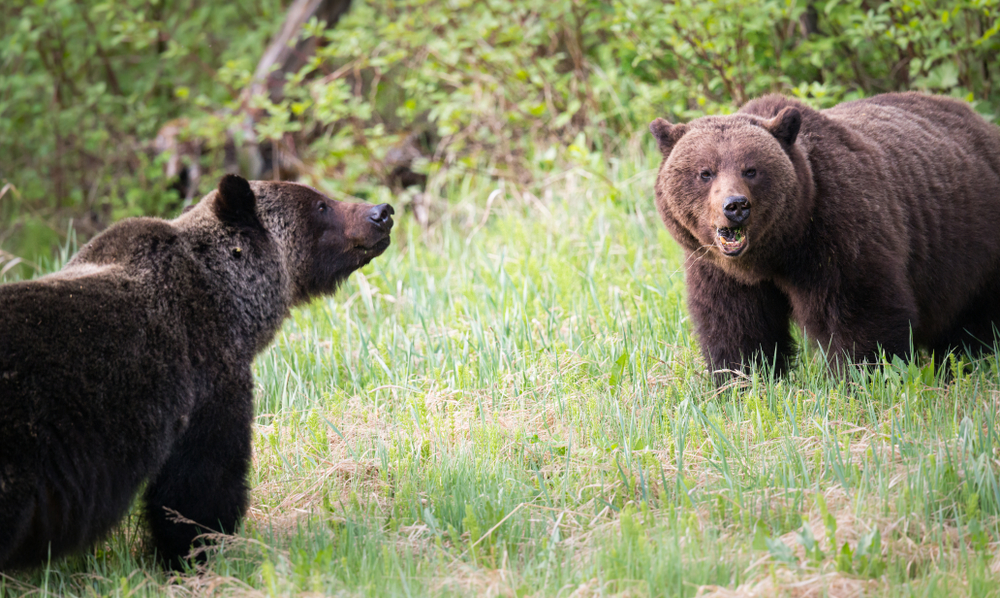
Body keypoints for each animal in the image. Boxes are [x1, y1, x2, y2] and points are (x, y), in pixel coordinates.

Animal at [0, 175, 394, 570]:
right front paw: (198, 550)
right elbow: (200, 484)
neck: (234, 305)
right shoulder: (204, 381)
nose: (382, 213)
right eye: (321, 205)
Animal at [649, 92, 1000, 378]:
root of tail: (983, 123)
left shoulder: (834, 237)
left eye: (751, 169)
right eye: (705, 172)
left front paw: (864, 377)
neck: (774, 252)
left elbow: (859, 312)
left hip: (972, 246)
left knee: (976, 321)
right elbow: (736, 326)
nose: (735, 206)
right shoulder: (718, 270)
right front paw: (742, 379)